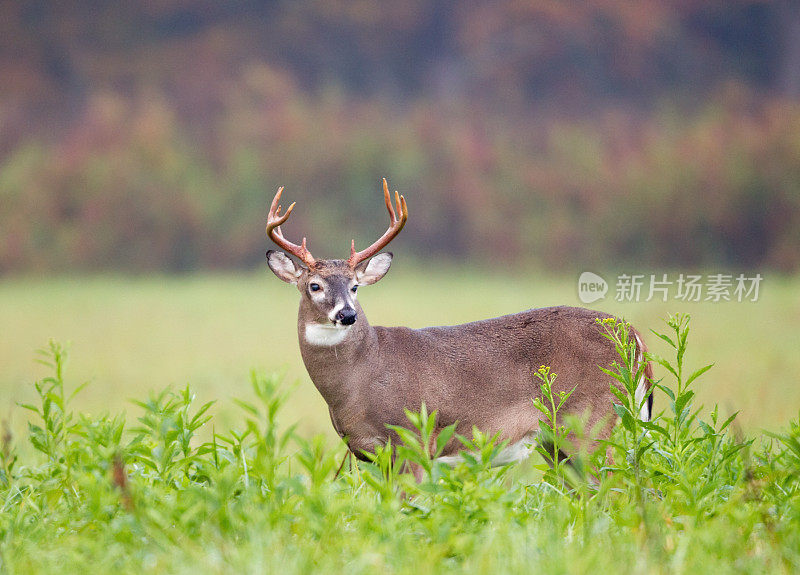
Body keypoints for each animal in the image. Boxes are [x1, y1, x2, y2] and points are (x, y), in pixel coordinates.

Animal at [266, 180, 652, 472]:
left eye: (355, 286)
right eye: (314, 286)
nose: (347, 315)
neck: (360, 379)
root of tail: (634, 337)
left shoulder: (414, 438)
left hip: (587, 423)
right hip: (555, 442)